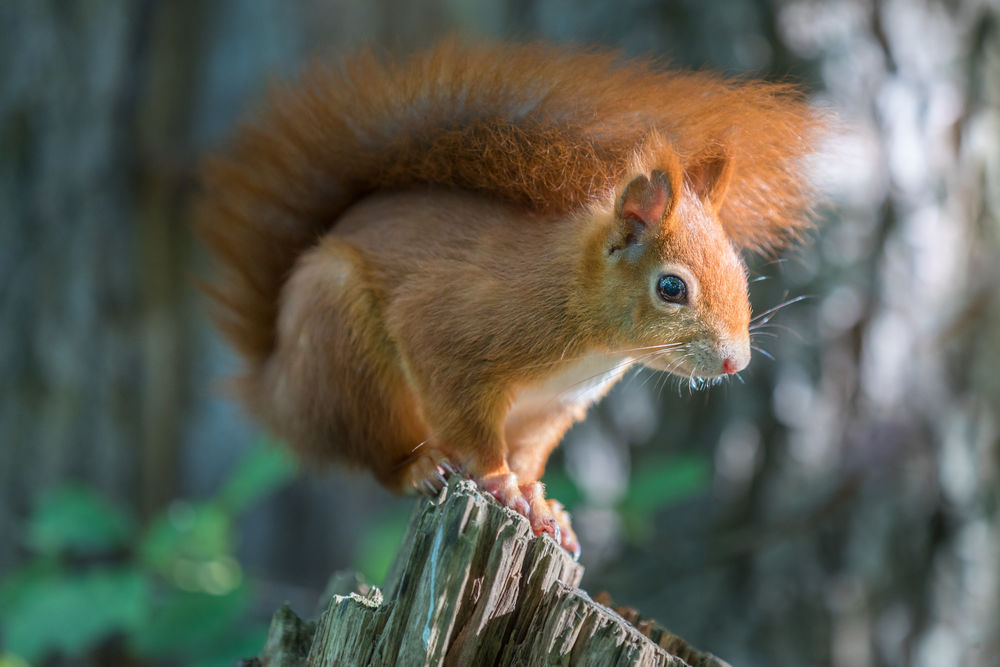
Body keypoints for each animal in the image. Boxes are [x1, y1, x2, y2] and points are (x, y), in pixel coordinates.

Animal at [198, 40, 824, 558]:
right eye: (672, 288)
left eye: (742, 274)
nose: (735, 362)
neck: (586, 330)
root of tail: (276, 384)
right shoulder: (451, 335)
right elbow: (472, 424)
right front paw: (501, 484)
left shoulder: (554, 406)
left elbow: (530, 453)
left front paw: (542, 504)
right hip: (343, 352)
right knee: (377, 453)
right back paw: (418, 466)